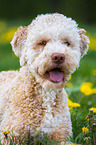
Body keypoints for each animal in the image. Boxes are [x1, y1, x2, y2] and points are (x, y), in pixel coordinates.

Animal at [0, 13, 89, 144]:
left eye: (66, 43)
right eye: (42, 42)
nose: (59, 57)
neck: (47, 92)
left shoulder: (62, 134)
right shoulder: (10, 135)